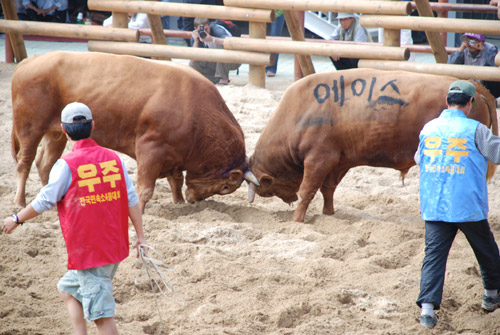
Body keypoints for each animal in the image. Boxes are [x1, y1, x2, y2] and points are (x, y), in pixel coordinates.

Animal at [12, 50, 258, 213]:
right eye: (226, 187)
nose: (194, 200)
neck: (194, 109)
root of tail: (30, 61)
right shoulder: (151, 149)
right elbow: (145, 188)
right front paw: (139, 210)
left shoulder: (173, 156)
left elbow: (176, 180)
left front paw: (178, 201)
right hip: (29, 128)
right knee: (25, 163)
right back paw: (19, 202)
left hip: (56, 133)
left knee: (45, 164)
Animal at [248, 69, 498, 223]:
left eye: (270, 188)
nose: (261, 192)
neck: (301, 111)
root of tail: (476, 86)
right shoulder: (339, 162)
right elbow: (328, 189)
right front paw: (329, 214)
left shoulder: (319, 159)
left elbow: (307, 190)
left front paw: (297, 220)